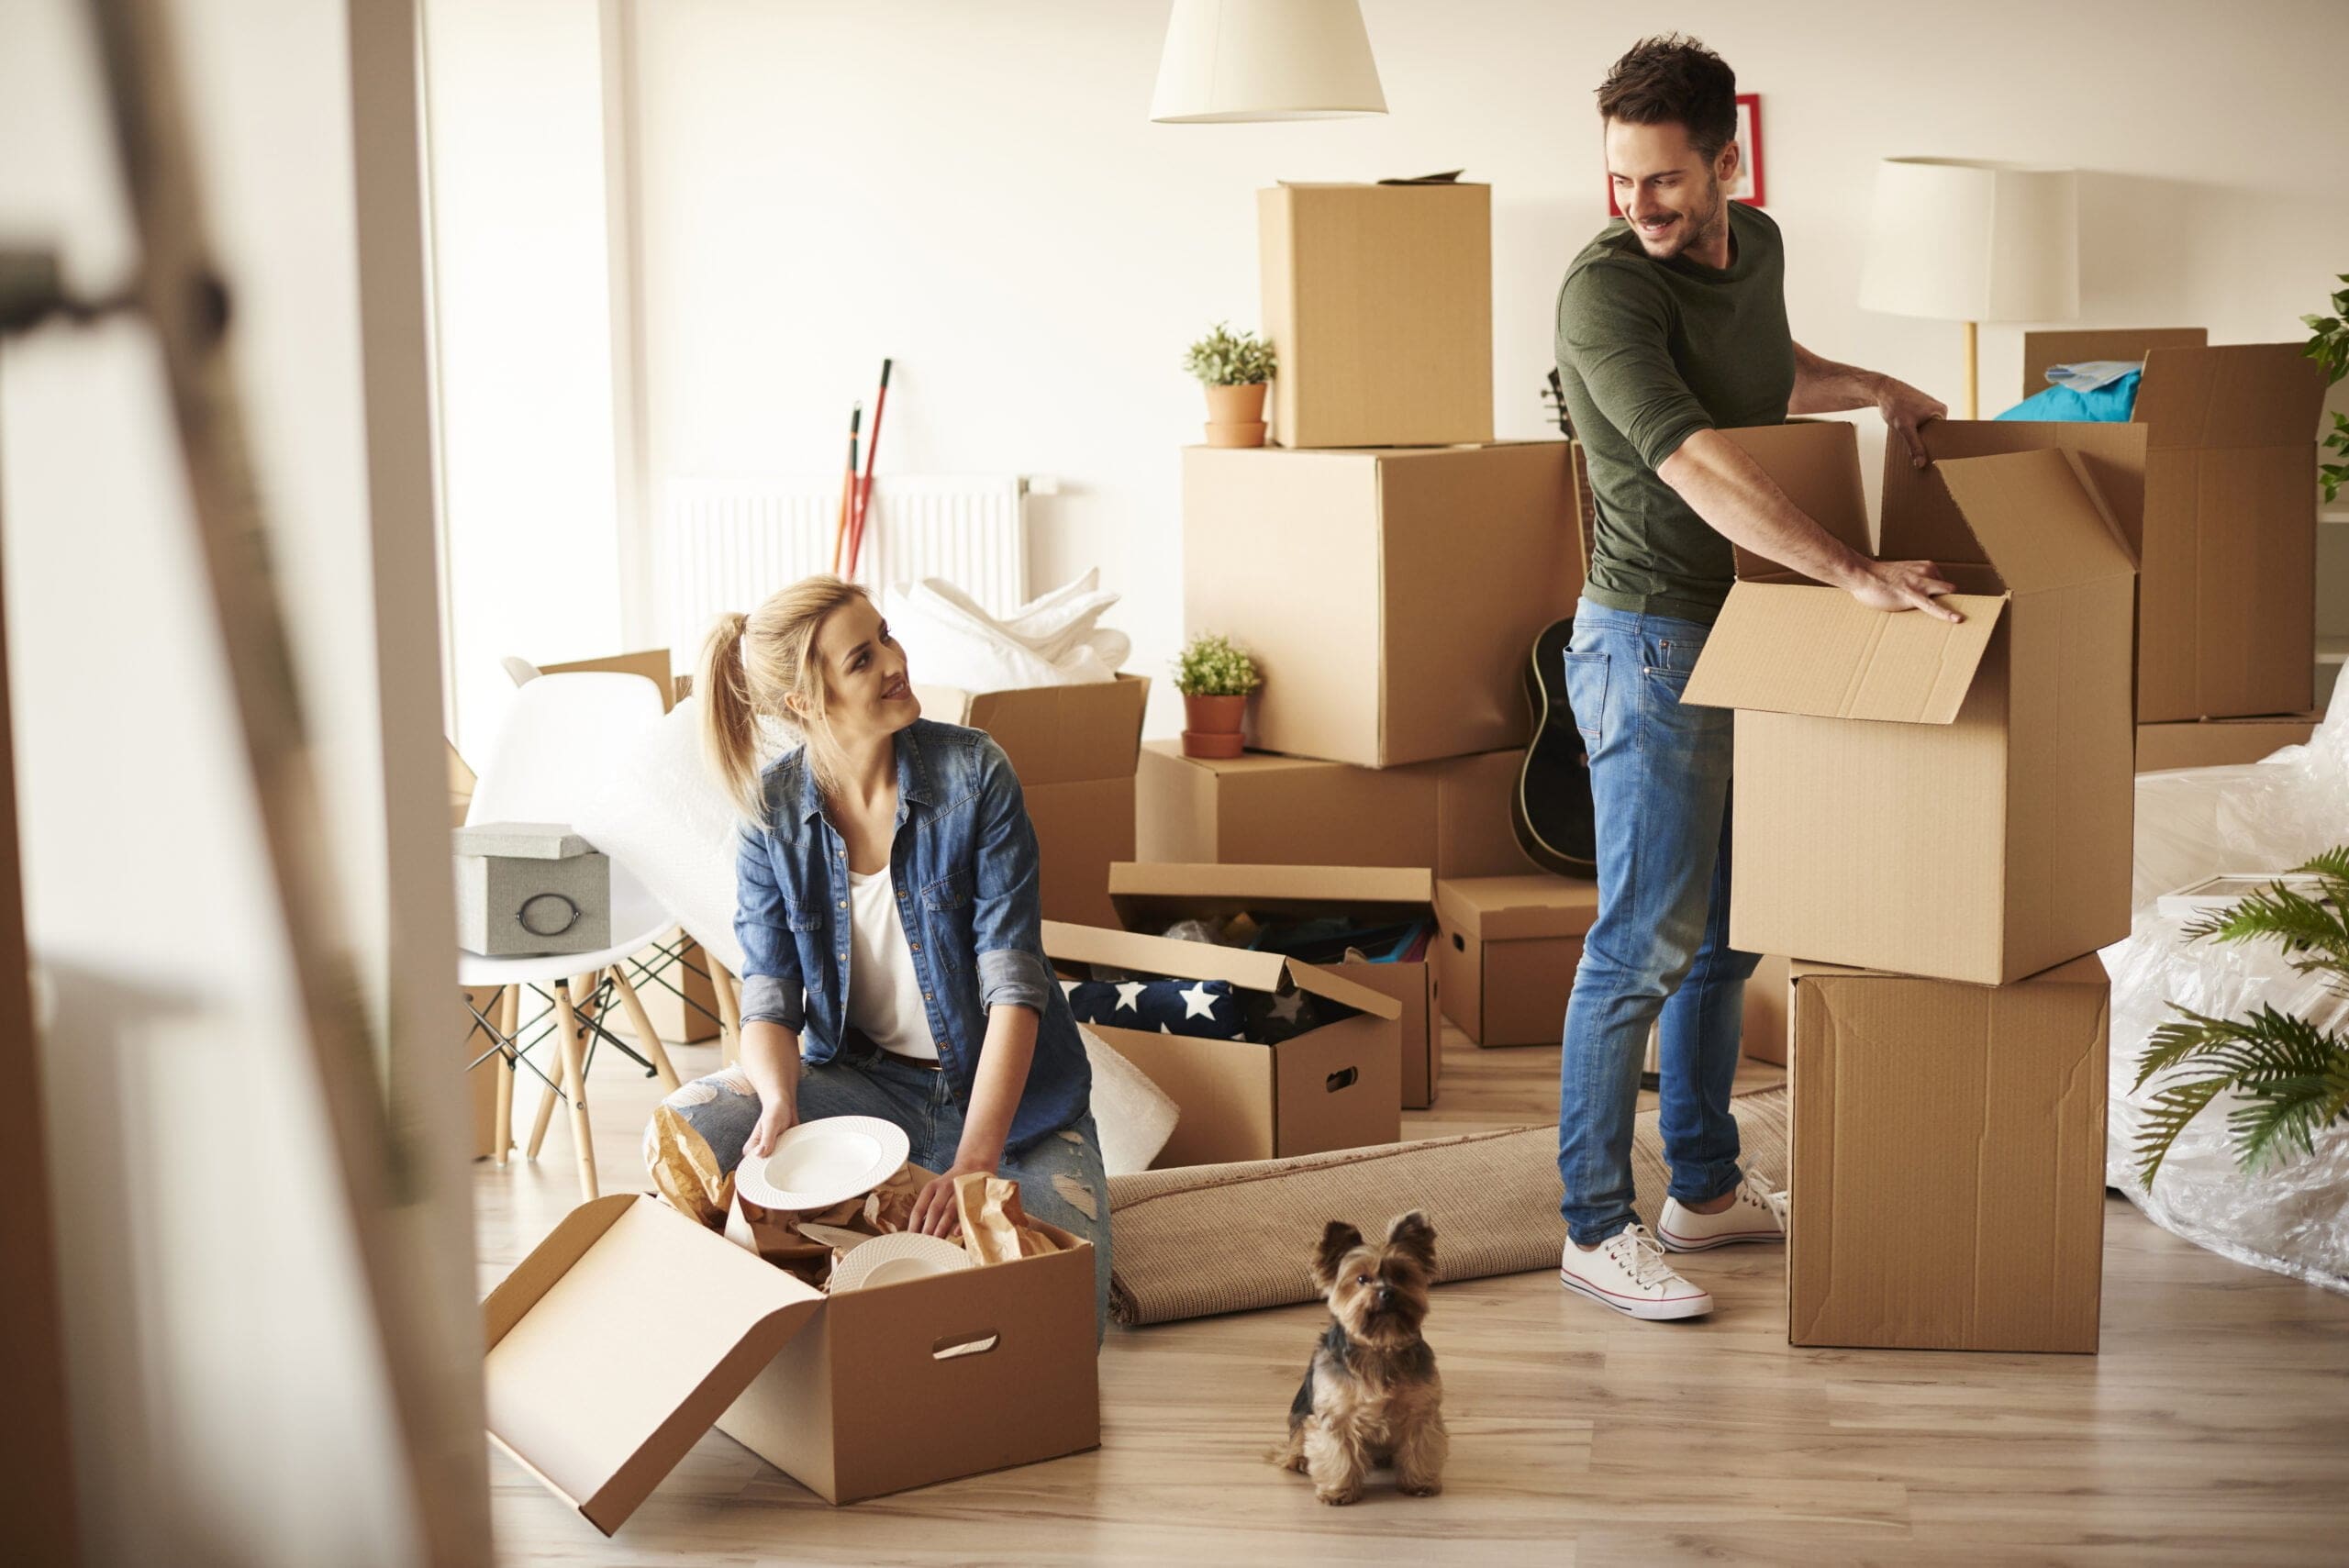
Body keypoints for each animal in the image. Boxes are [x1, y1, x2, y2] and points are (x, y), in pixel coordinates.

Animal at [1277, 1211, 1437, 1502]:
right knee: (1298, 1436)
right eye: (1362, 1279)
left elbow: (1421, 1446)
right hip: (1302, 1410)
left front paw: (1420, 1482)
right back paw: (1299, 1460)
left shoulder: (1421, 1409)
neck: (1380, 1346)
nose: (1387, 1293)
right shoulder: (1336, 1414)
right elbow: (1338, 1452)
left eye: (1402, 1275)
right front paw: (1338, 1490)